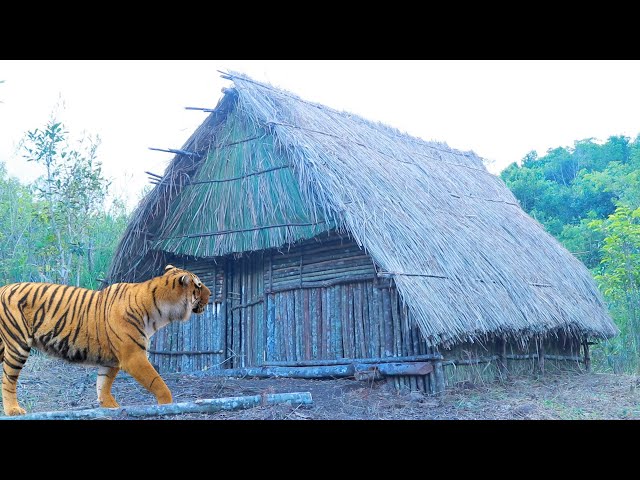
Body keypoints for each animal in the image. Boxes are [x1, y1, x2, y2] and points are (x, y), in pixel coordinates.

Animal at [0, 264, 211, 416]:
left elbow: (103, 383)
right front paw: (167, 405)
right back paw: (13, 410)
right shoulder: (133, 356)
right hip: (17, 345)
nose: (210, 295)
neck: (160, 312)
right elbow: (157, 382)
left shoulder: (111, 360)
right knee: (8, 379)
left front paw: (109, 407)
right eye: (199, 286)